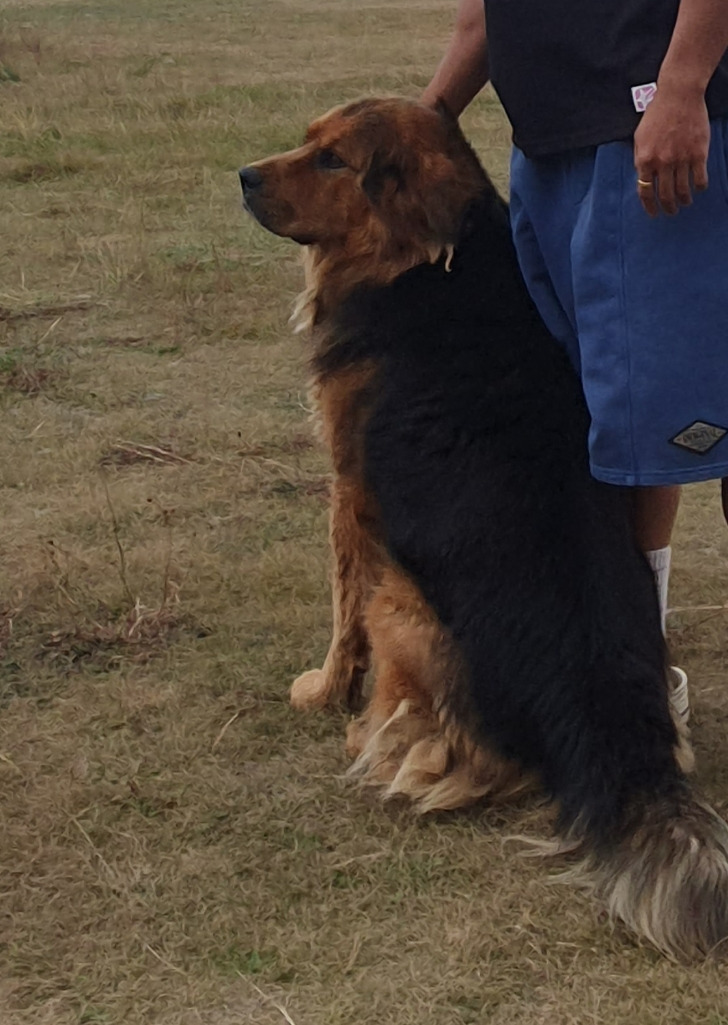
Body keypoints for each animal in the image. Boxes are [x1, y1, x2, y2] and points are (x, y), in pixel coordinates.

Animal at [241, 97, 728, 960]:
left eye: (333, 160)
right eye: (307, 140)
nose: (243, 178)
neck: (429, 261)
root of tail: (612, 726)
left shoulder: (351, 489)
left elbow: (340, 610)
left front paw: (325, 692)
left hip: (402, 601)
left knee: (447, 748)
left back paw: (369, 735)